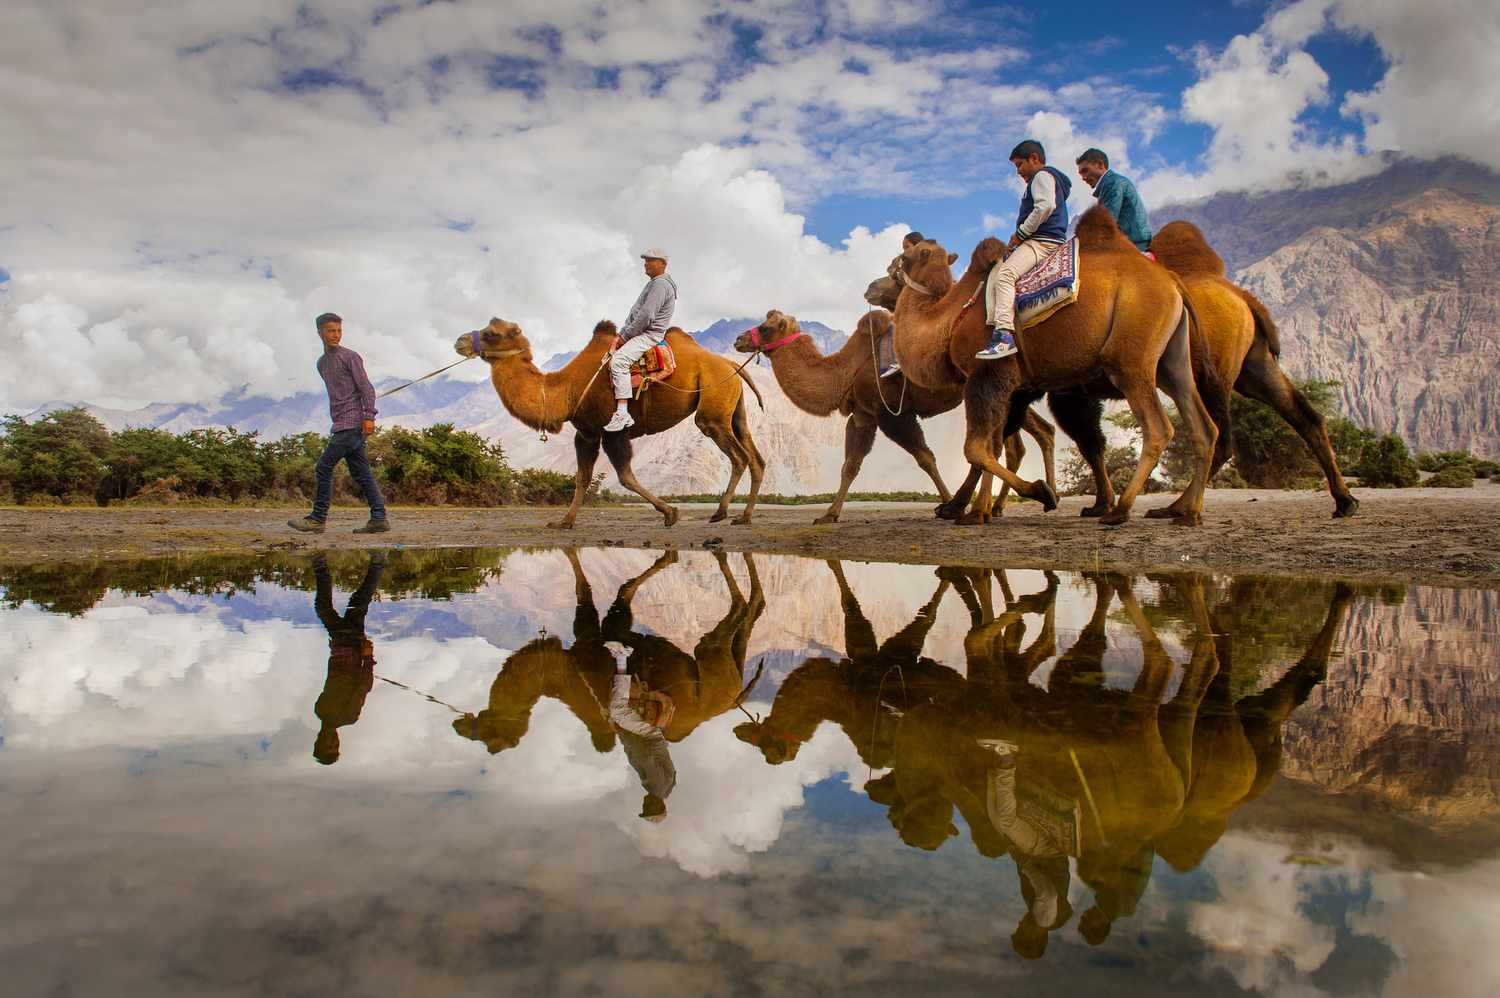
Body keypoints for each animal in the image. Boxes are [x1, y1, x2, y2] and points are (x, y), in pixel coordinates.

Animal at [453, 316, 768, 528]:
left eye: (491, 333)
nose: (460, 341)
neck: (566, 390)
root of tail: (730, 364)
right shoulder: (587, 432)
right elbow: (582, 477)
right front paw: (564, 521)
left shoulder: (612, 430)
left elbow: (625, 476)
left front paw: (671, 513)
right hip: (734, 408)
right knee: (756, 457)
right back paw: (743, 516)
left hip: (712, 410)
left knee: (738, 455)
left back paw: (721, 513)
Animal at [732, 309, 1062, 522]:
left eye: (765, 327)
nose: (738, 339)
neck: (846, 370)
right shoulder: (863, 416)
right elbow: (850, 466)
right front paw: (829, 514)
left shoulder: (892, 413)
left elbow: (925, 458)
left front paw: (944, 502)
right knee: (1023, 437)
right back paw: (1009, 503)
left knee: (997, 442)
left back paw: (993, 505)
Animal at [888, 205, 1218, 525]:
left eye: (908, 255)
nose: (890, 268)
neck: (952, 317)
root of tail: (1173, 282)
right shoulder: (1014, 388)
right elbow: (993, 445)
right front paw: (972, 509)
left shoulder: (988, 375)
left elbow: (977, 448)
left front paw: (1036, 494)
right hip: (1172, 363)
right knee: (1203, 426)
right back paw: (1186, 512)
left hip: (1131, 360)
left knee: (1158, 429)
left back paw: (1120, 511)